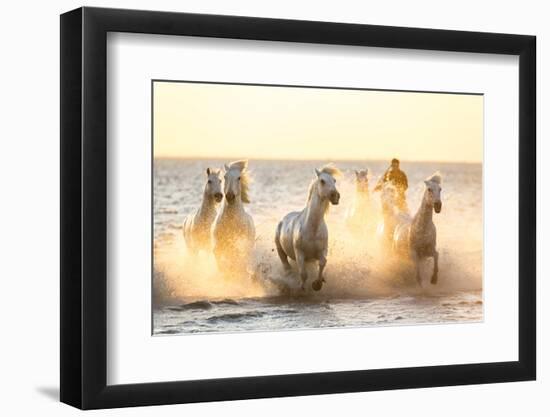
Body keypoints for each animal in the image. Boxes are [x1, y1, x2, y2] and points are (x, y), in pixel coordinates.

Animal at [274, 162, 340, 290]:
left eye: (334, 180)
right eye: (322, 181)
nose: (336, 196)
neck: (312, 228)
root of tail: (283, 219)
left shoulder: (322, 251)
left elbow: (323, 262)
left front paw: (317, 284)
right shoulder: (300, 253)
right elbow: (303, 274)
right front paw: (302, 288)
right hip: (280, 250)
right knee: (287, 266)